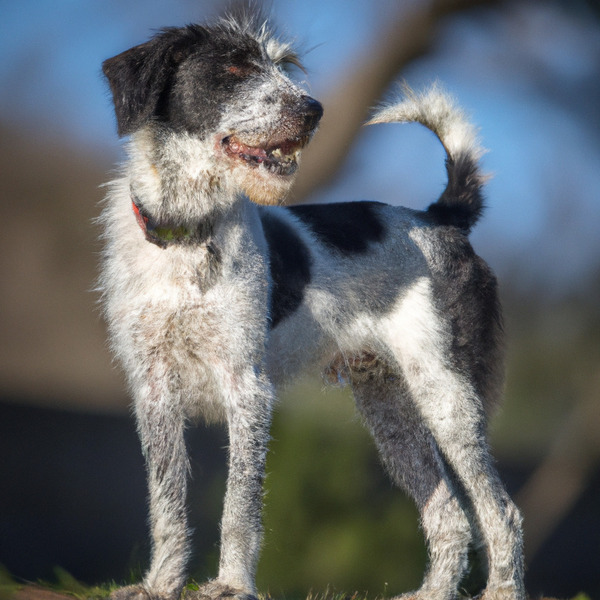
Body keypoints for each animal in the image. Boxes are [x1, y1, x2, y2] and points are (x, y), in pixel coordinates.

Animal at [101, 9, 524, 600]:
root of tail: (442, 217)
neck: (189, 231)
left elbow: (240, 505)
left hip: (449, 397)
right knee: (450, 516)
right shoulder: (154, 389)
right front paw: (160, 584)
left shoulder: (247, 389)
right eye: (234, 67)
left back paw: (502, 590)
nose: (313, 110)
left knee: (501, 512)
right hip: (392, 413)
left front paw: (230, 584)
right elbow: (166, 502)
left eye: (281, 66)